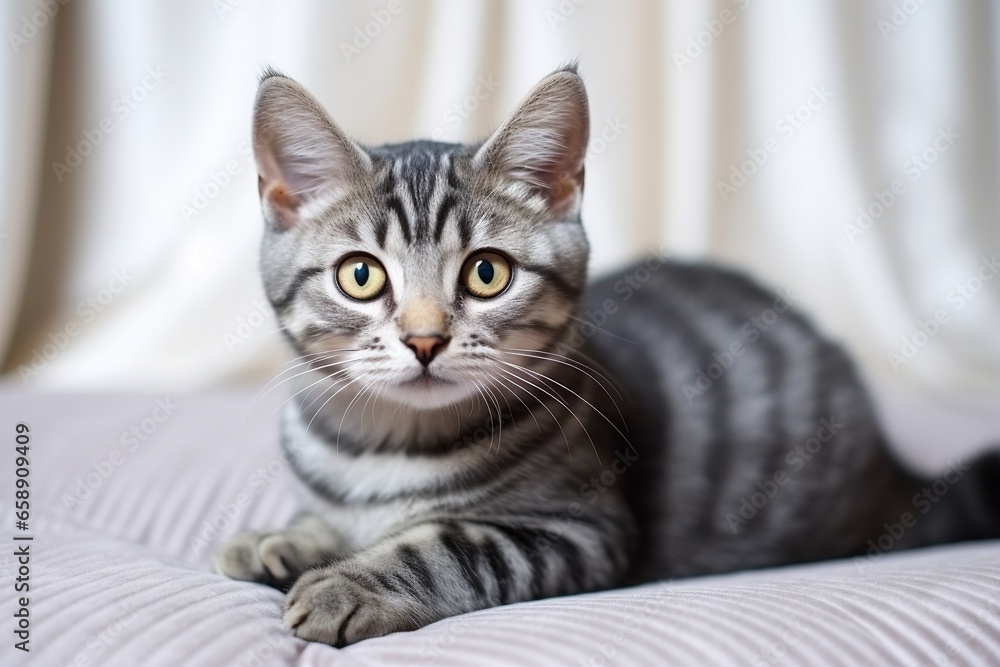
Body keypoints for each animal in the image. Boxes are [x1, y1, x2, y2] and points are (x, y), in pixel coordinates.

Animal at [213, 64, 1000, 648]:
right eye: (361, 275)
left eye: (487, 273)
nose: (425, 338)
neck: (385, 446)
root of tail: (895, 472)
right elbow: (321, 517)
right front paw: (284, 537)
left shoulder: (581, 529)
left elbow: (451, 545)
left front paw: (352, 581)